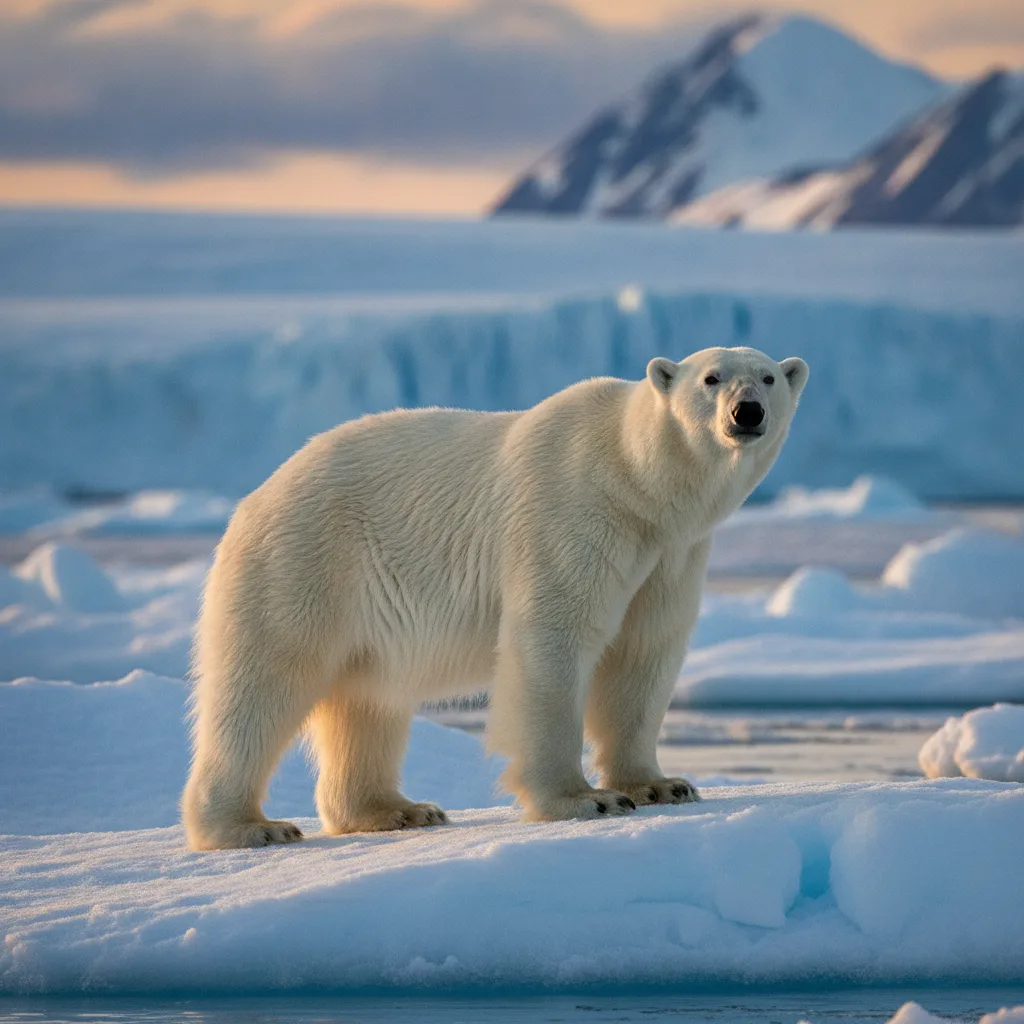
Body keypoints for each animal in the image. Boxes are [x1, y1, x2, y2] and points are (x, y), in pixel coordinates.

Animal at [182, 345, 809, 849]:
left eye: (768, 378)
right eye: (711, 377)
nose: (746, 412)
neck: (636, 481)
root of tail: (255, 497)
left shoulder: (670, 553)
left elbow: (644, 651)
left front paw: (662, 784)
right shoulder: (574, 513)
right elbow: (555, 636)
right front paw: (587, 799)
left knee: (368, 699)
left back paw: (398, 810)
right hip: (304, 561)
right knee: (265, 683)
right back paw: (250, 827)